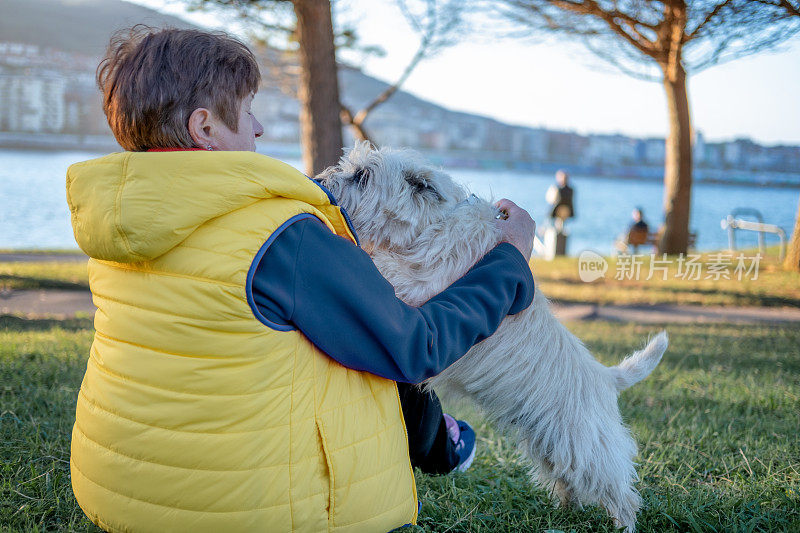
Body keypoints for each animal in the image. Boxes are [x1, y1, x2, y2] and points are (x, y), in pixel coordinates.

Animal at [316, 142, 664, 532]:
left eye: (362, 176)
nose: (320, 180)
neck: (432, 224)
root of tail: (606, 377)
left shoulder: (418, 287)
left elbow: (386, 269)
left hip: (583, 444)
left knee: (620, 489)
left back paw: (623, 524)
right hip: (548, 441)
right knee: (567, 479)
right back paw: (564, 511)